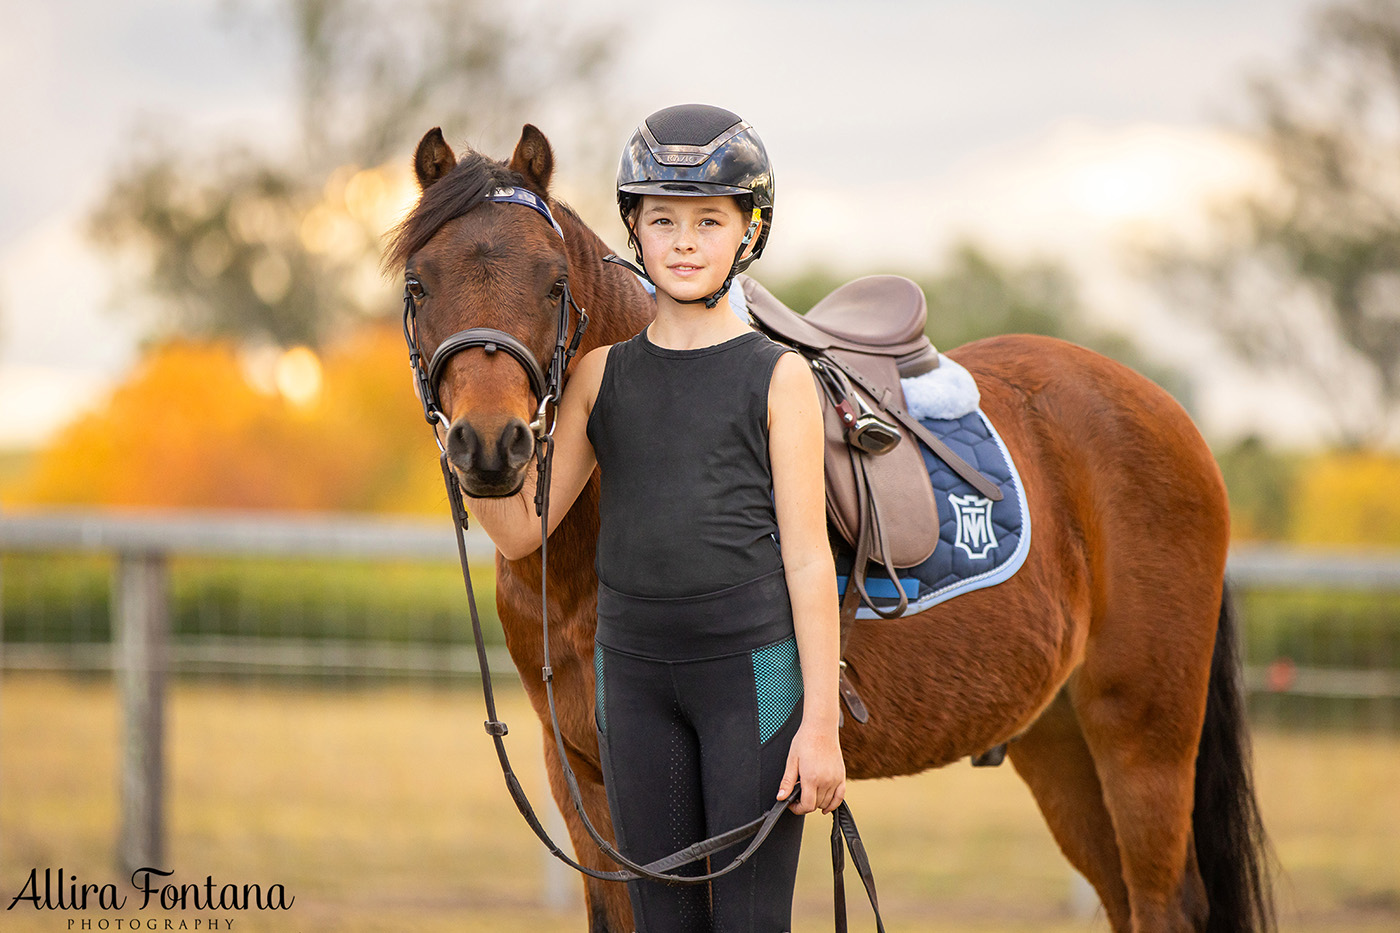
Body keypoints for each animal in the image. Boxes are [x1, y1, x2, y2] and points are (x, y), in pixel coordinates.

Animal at [380, 125, 1271, 930]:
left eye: (553, 281)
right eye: (419, 284)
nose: (489, 444)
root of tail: (1166, 412)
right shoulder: (588, 785)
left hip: (1142, 736)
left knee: (1165, 904)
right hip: (1060, 740)